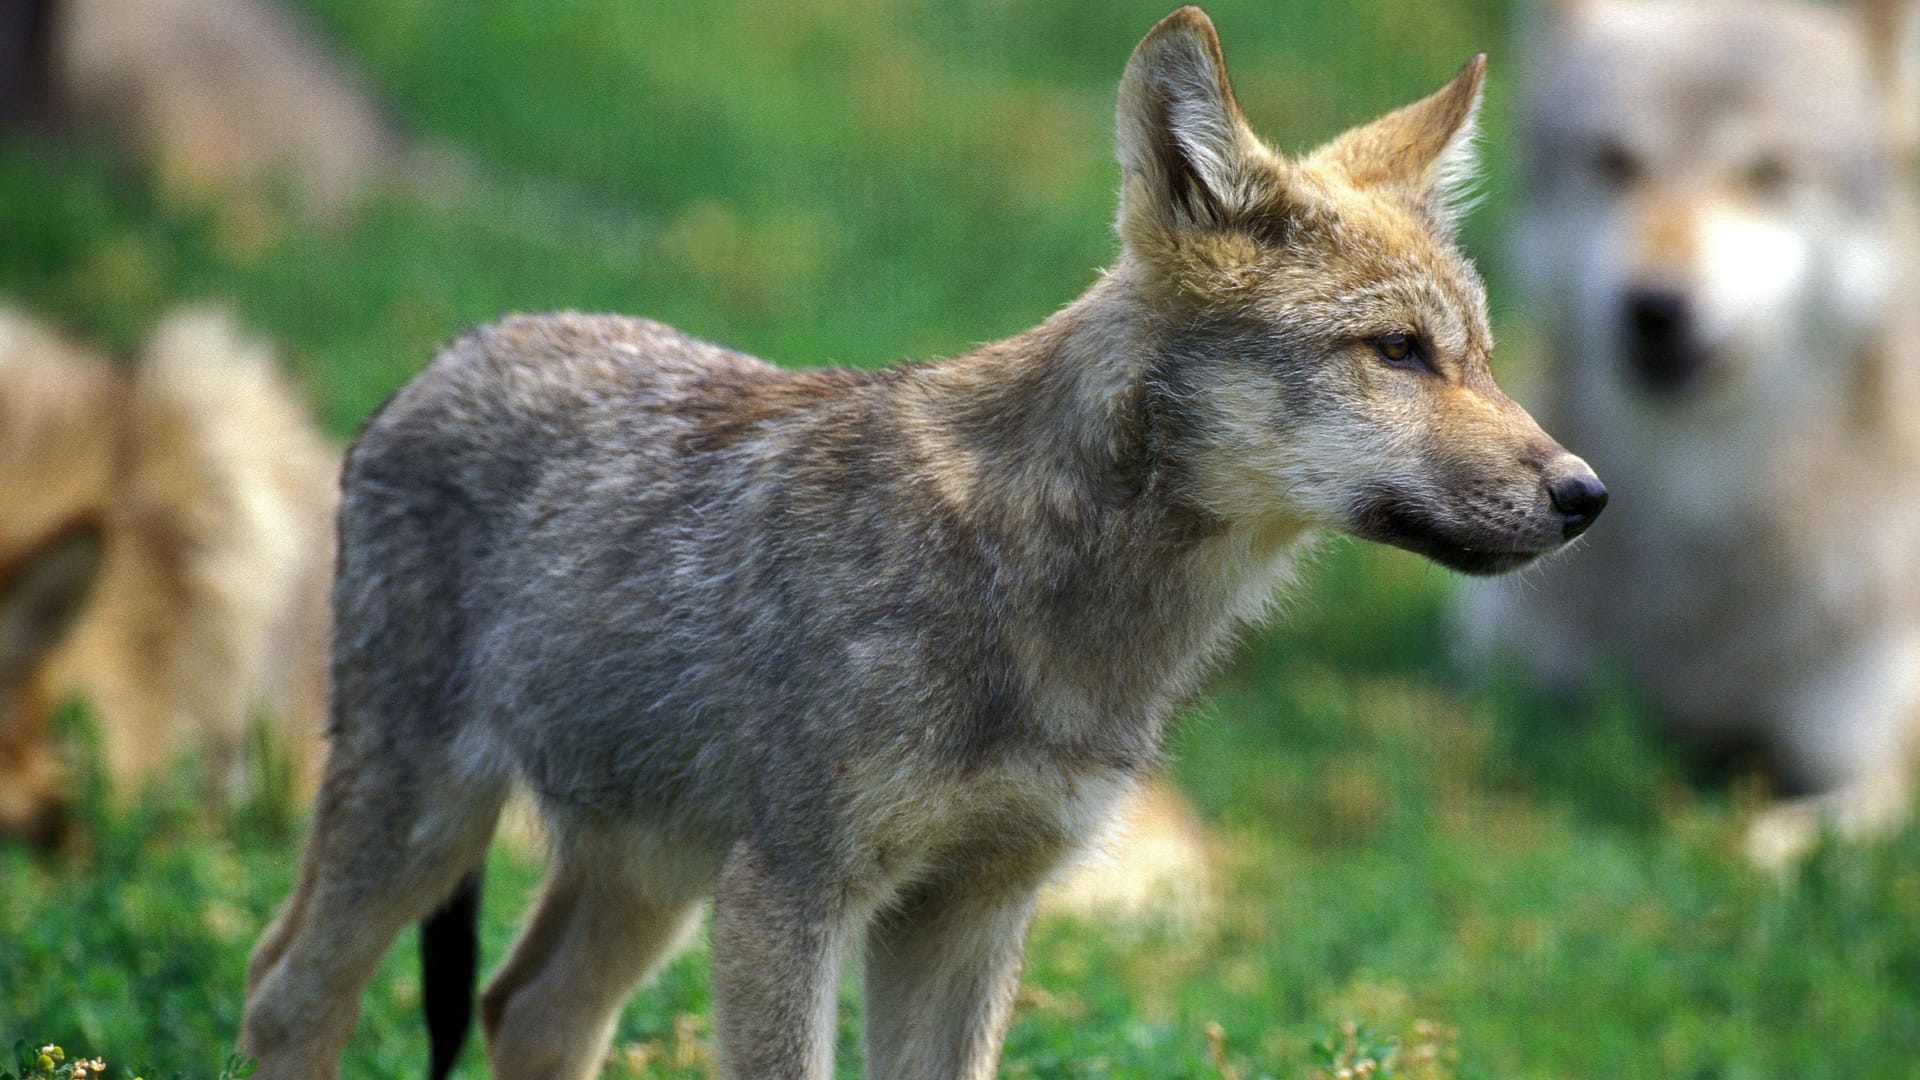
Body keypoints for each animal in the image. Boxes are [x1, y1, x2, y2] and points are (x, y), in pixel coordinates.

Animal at [240, 10, 1605, 1076]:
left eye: (1481, 357)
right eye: (1397, 352)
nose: (1587, 494)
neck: (1048, 602)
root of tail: (447, 352)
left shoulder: (972, 914)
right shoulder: (794, 896)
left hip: (644, 880)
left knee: (521, 1009)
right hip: (426, 826)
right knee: (282, 991)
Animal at [1451, 0, 1920, 860]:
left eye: (1768, 173)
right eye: (1614, 160)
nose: (1655, 306)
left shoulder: (1878, 776)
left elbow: (1760, 846)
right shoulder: (1495, 678)